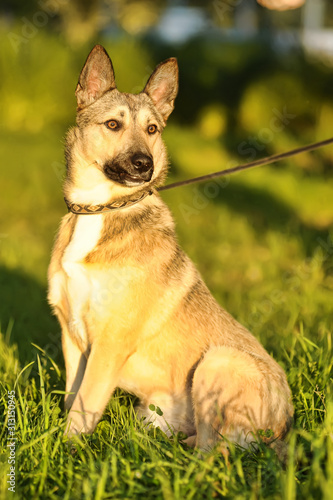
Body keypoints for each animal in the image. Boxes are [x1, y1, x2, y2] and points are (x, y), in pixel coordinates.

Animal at [48, 46, 292, 454]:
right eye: (112, 125)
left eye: (153, 130)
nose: (144, 164)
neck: (102, 209)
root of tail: (284, 428)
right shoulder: (71, 334)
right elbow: (72, 398)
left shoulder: (109, 342)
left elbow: (83, 406)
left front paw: (67, 454)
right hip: (153, 413)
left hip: (218, 362)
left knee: (214, 454)